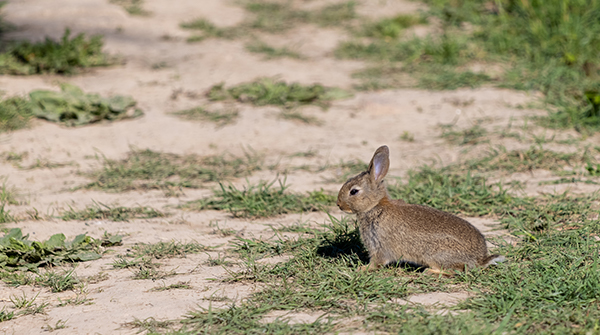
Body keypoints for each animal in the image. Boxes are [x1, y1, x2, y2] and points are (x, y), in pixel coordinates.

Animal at [336, 146, 504, 276]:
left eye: (354, 191)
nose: (339, 205)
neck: (375, 206)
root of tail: (479, 259)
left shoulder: (379, 246)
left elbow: (377, 262)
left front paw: (363, 269)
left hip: (436, 254)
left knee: (456, 270)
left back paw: (430, 272)